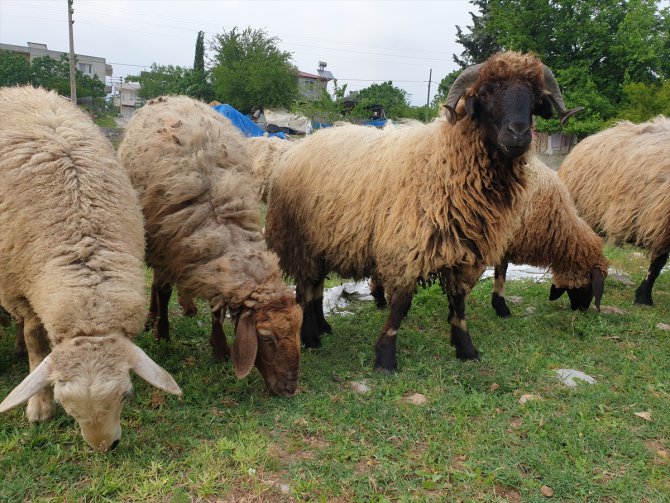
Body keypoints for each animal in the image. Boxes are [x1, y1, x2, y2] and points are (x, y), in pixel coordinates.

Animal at [0, 86, 182, 452]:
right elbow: (35, 339)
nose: (104, 447)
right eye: (65, 404)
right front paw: (39, 407)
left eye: (126, 395)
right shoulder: (19, 287)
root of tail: (22, 89)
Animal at [266, 52, 580, 370]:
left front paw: (466, 349)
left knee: (314, 287)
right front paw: (385, 358)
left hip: (323, 241)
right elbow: (400, 306)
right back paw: (310, 337)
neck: (443, 162)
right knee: (305, 289)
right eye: (485, 93)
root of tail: (299, 146)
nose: (518, 133)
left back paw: (322, 327)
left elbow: (459, 303)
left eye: (534, 96)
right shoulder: (406, 247)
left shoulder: (465, 250)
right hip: (301, 241)